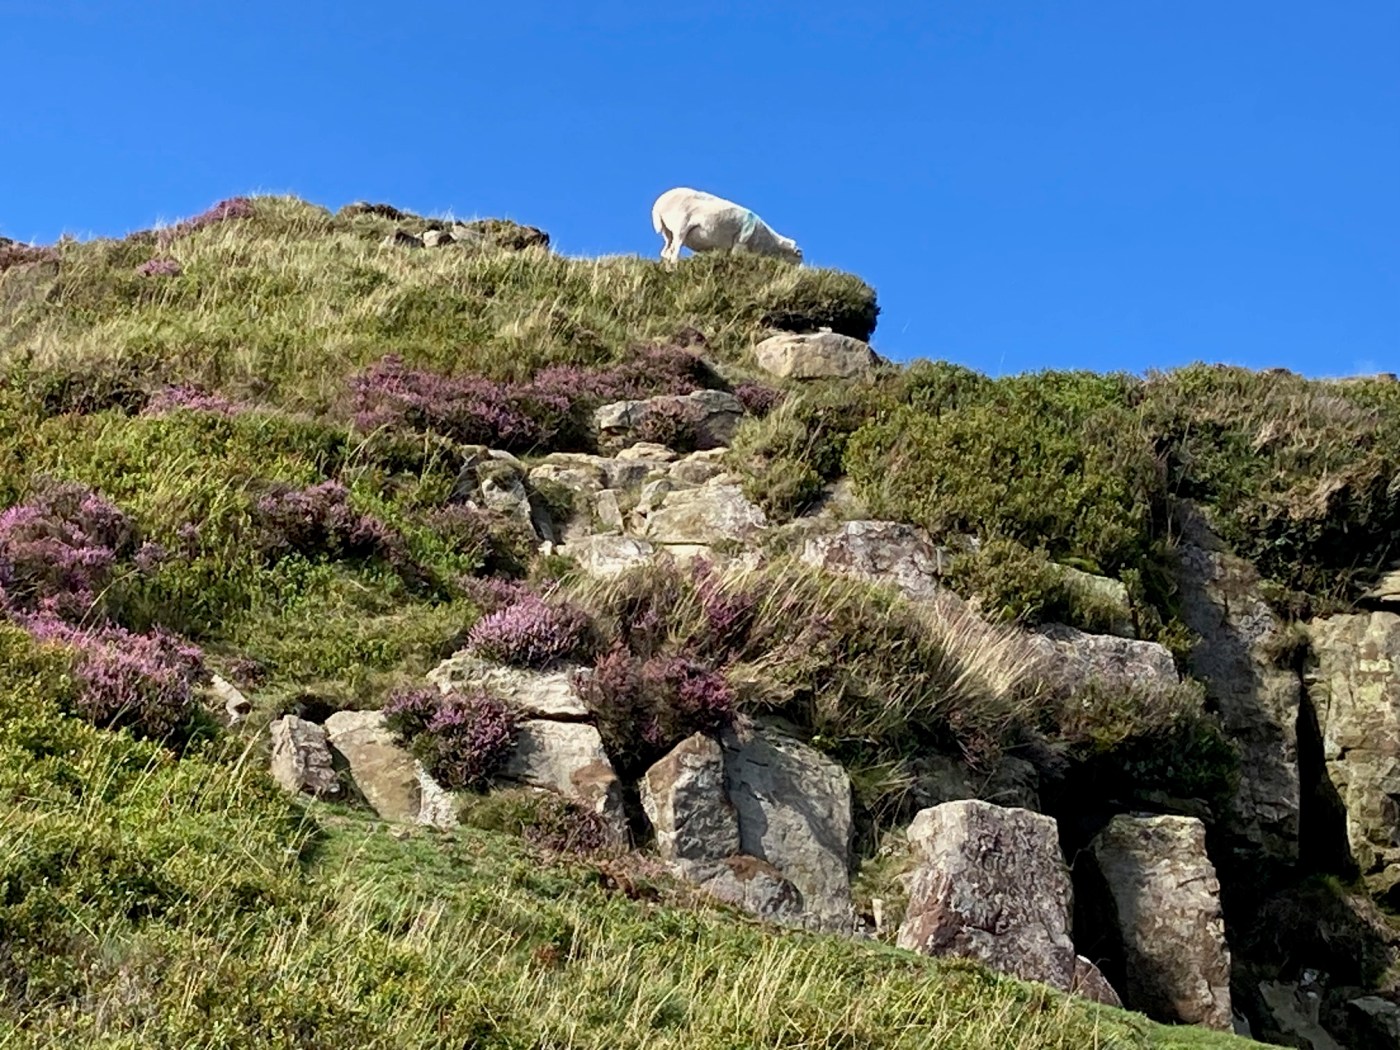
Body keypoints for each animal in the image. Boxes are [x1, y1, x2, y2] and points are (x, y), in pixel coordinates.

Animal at [651, 187, 802, 266]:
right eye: (798, 257)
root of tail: (658, 205)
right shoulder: (740, 242)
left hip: (668, 233)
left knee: (665, 252)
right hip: (680, 228)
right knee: (674, 252)